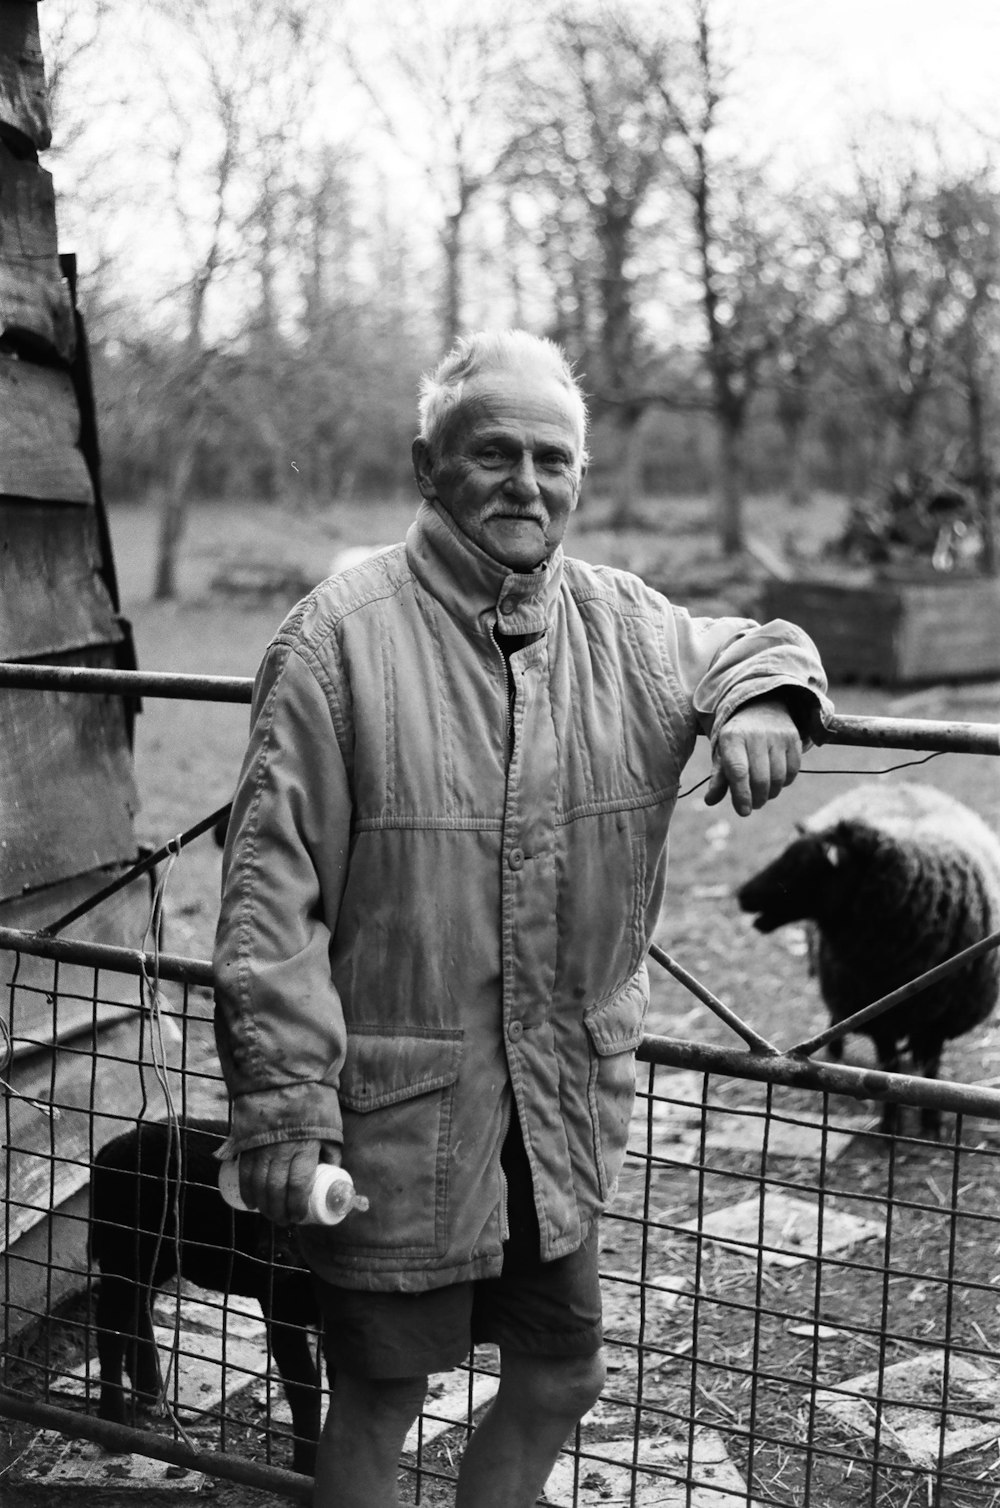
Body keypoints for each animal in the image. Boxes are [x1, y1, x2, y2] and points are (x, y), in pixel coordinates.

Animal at [91, 1121, 327, 1471]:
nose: (269, 1254)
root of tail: (110, 1149)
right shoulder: (281, 1309)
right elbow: (305, 1389)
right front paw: (306, 1468)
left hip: (154, 1255)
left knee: (140, 1307)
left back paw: (148, 1387)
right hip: (124, 1249)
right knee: (110, 1324)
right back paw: (113, 1423)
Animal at [736, 778, 1000, 1134]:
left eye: (802, 865)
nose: (742, 895)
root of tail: (891, 782)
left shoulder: (938, 1020)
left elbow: (931, 1069)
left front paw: (931, 1123)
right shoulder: (878, 1016)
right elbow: (886, 1070)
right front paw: (890, 1124)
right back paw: (832, 1049)